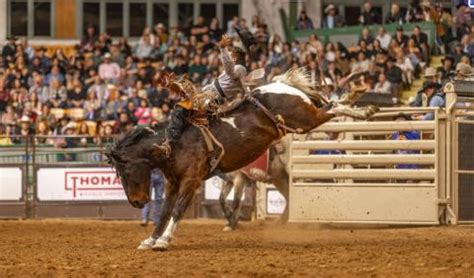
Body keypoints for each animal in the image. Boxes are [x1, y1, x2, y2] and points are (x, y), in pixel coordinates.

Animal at [104, 68, 378, 251]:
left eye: (124, 171)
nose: (136, 202)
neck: (173, 143)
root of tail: (280, 86)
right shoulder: (173, 182)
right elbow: (164, 211)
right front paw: (150, 239)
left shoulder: (192, 180)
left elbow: (180, 209)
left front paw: (163, 240)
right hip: (283, 165)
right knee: (330, 105)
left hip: (305, 121)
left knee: (332, 107)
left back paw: (363, 109)